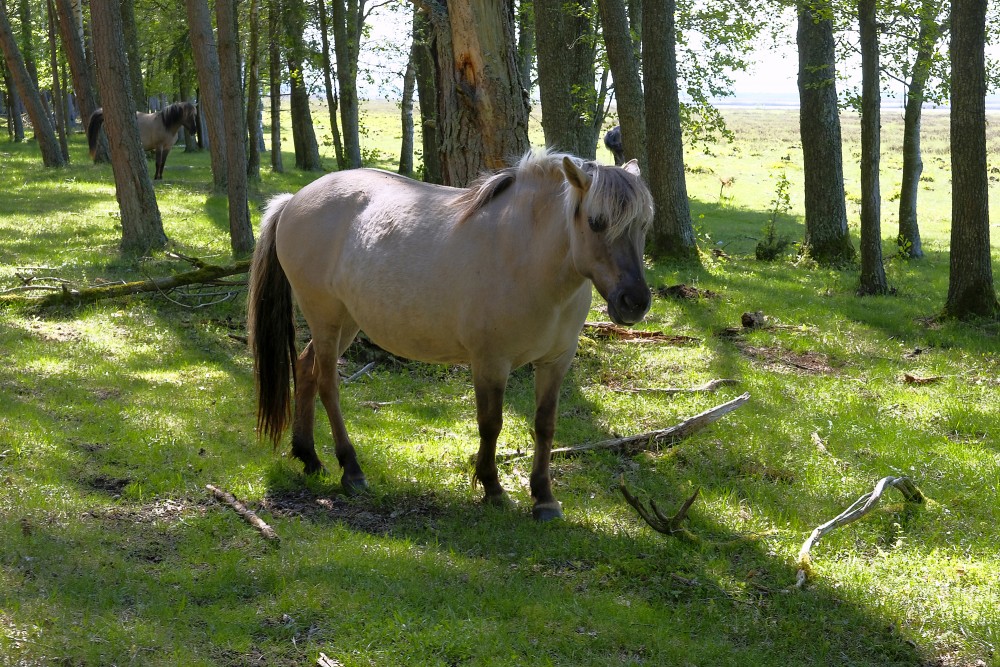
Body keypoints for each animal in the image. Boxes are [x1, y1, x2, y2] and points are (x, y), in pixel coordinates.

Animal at [248, 151, 656, 520]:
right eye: (597, 222)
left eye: (643, 225)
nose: (634, 302)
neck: (524, 255)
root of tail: (293, 201)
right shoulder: (491, 362)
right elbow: (491, 424)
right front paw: (493, 489)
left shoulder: (556, 362)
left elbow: (545, 425)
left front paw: (544, 498)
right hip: (327, 320)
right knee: (328, 385)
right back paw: (351, 470)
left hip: (345, 322)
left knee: (305, 370)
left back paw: (309, 457)